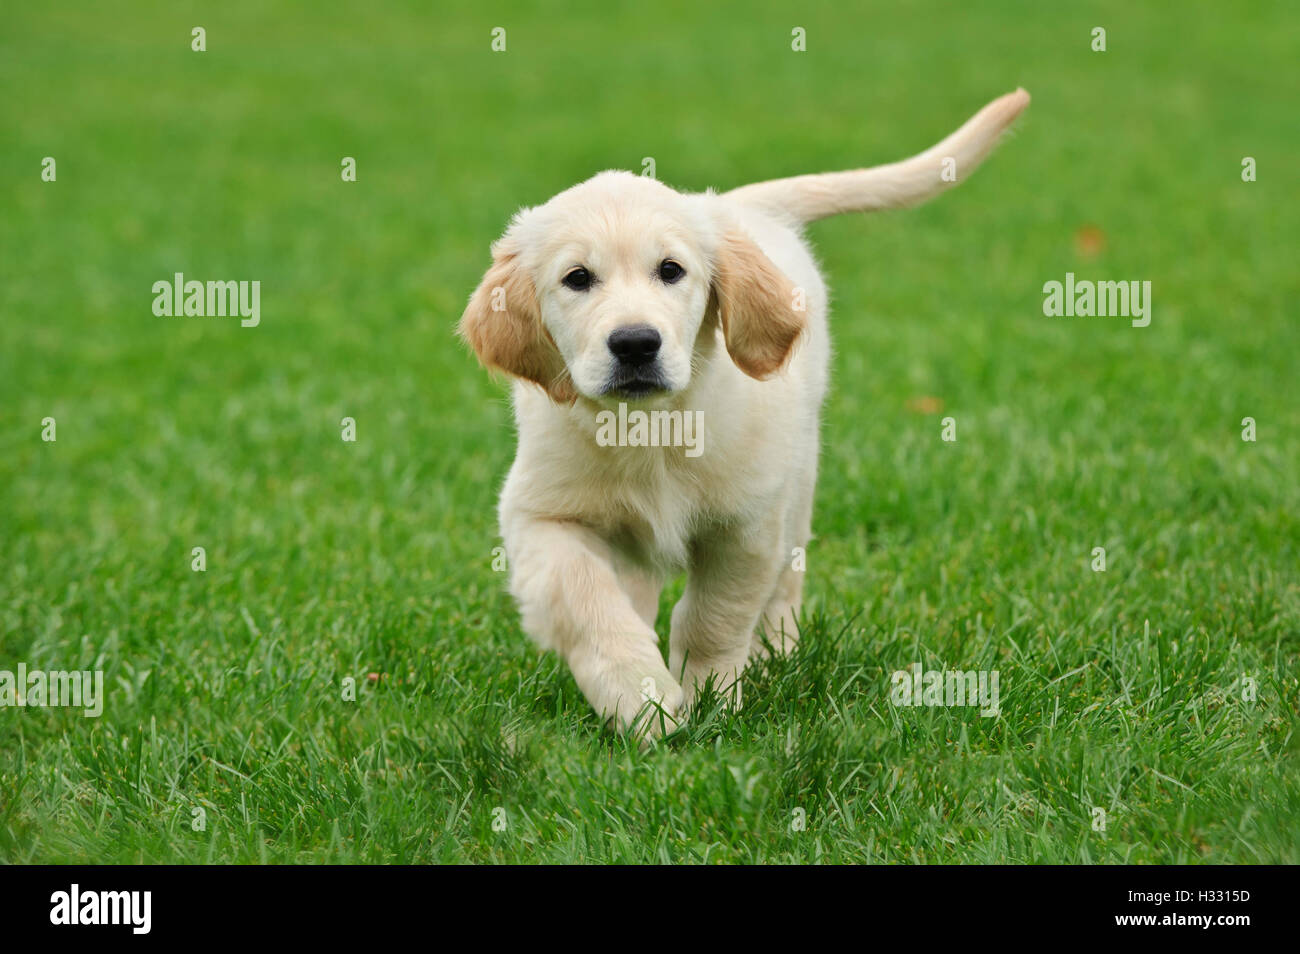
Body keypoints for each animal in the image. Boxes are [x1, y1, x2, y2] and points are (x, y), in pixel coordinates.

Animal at [462, 87, 1029, 738]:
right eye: (577, 278)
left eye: (671, 270)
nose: (635, 343)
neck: (653, 430)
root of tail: (736, 206)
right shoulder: (539, 514)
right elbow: (588, 602)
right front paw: (641, 698)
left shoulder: (747, 522)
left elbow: (714, 617)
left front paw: (711, 699)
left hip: (799, 479)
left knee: (784, 581)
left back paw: (774, 656)